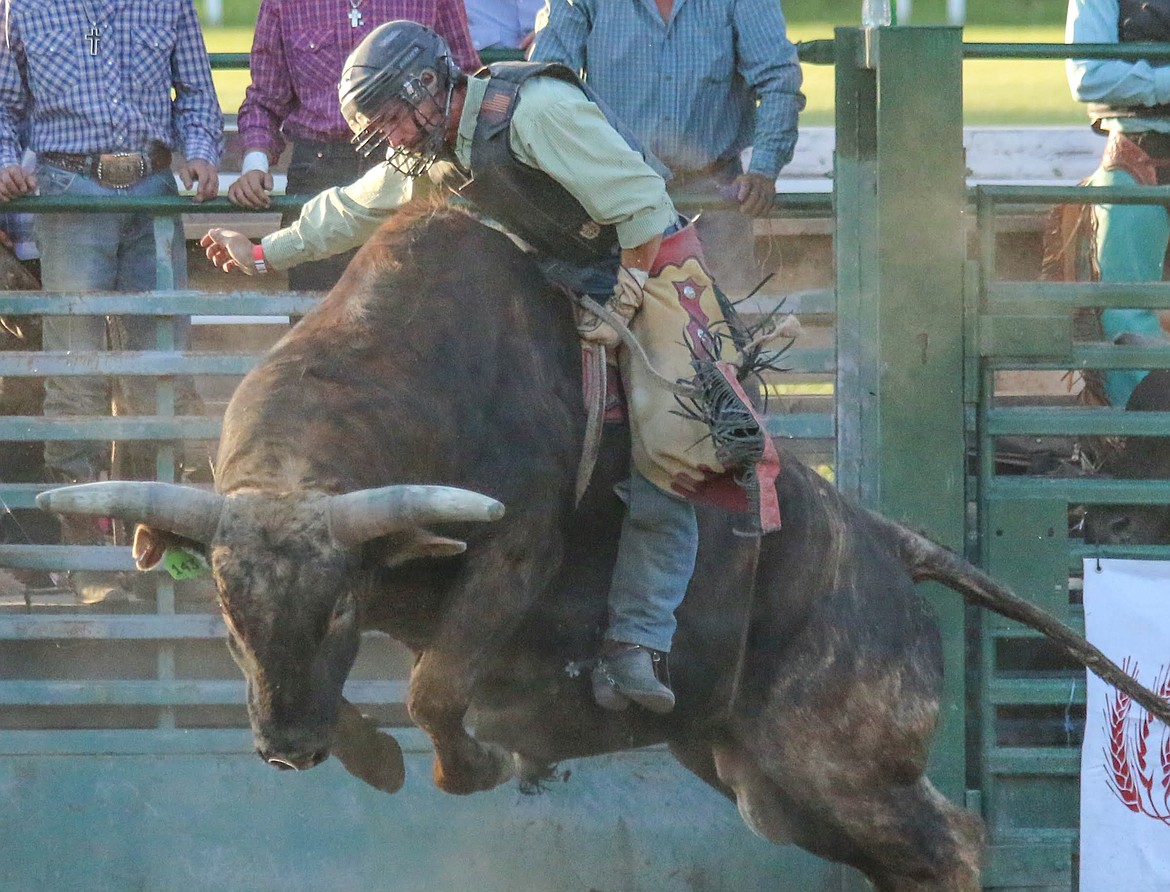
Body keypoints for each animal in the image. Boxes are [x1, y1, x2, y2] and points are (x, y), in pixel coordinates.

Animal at [36, 201, 1170, 889]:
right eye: (227, 611)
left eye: (342, 605)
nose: (282, 747)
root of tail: (888, 542)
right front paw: (367, 754)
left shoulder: (511, 554)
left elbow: (436, 693)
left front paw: (474, 755)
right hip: (767, 779)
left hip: (844, 754)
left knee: (951, 841)